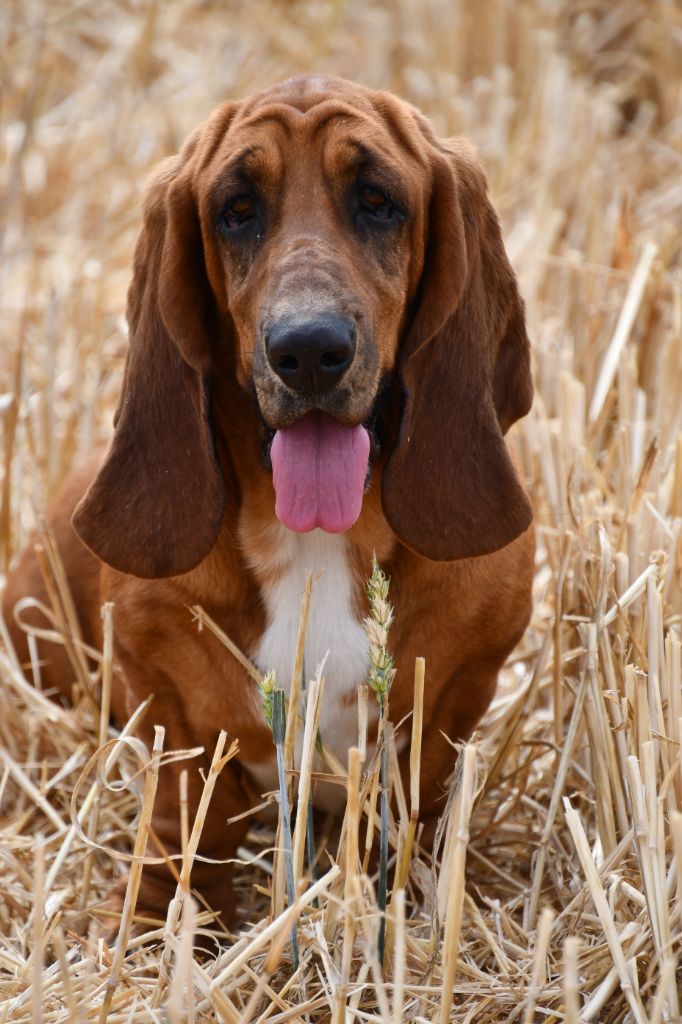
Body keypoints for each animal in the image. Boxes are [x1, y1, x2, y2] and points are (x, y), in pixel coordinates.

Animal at [2, 75, 532, 929]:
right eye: (236, 209)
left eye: (379, 201)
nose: (309, 350)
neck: (317, 544)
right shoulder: (169, 704)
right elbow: (187, 818)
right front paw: (162, 919)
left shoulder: (456, 695)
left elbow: (418, 807)